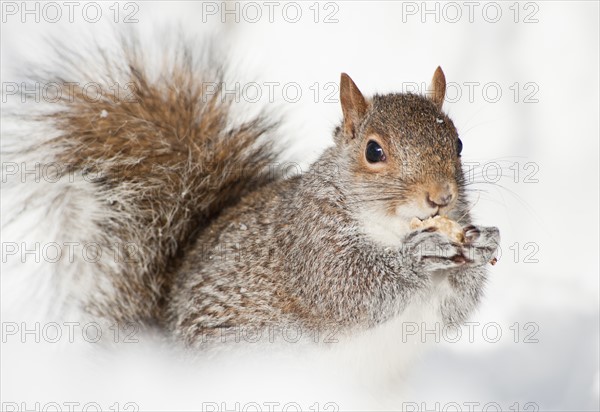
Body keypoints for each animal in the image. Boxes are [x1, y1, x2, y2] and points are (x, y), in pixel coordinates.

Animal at [2, 36, 500, 350]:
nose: (440, 197)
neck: (389, 228)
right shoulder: (308, 242)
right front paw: (416, 257)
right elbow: (344, 290)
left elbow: (454, 307)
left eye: (457, 144)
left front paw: (484, 243)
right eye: (374, 151)